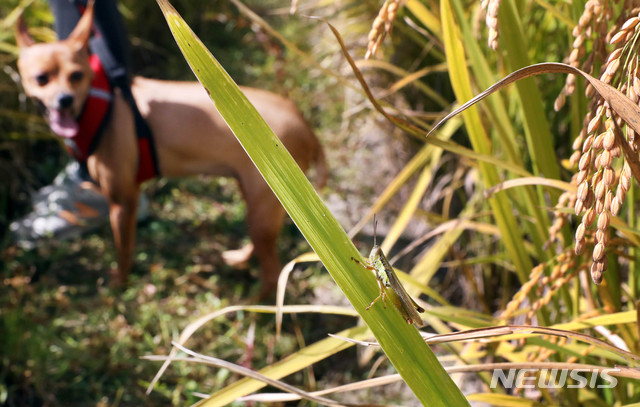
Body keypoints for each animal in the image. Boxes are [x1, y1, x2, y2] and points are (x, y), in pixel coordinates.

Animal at [16, 2, 324, 296]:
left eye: (77, 75)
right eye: (41, 78)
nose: (64, 100)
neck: (104, 104)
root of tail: (304, 124)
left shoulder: (123, 202)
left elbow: (123, 251)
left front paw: (118, 283)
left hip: (265, 206)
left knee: (272, 273)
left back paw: (253, 303)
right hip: (262, 201)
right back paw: (240, 260)